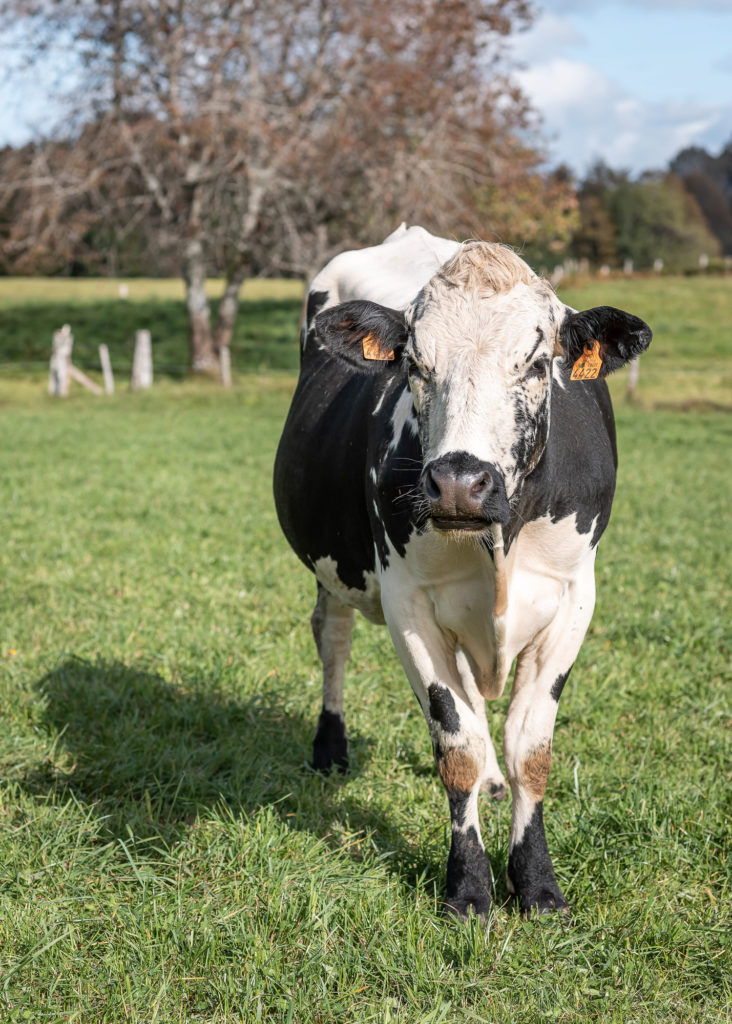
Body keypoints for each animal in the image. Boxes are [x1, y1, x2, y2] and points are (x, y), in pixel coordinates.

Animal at [274, 224, 651, 921]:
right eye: (415, 365)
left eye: (536, 363)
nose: (457, 482)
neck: (499, 543)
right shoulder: (409, 603)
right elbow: (458, 749)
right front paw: (470, 887)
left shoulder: (573, 600)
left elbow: (530, 751)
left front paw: (537, 885)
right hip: (332, 564)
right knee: (333, 638)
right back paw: (330, 748)